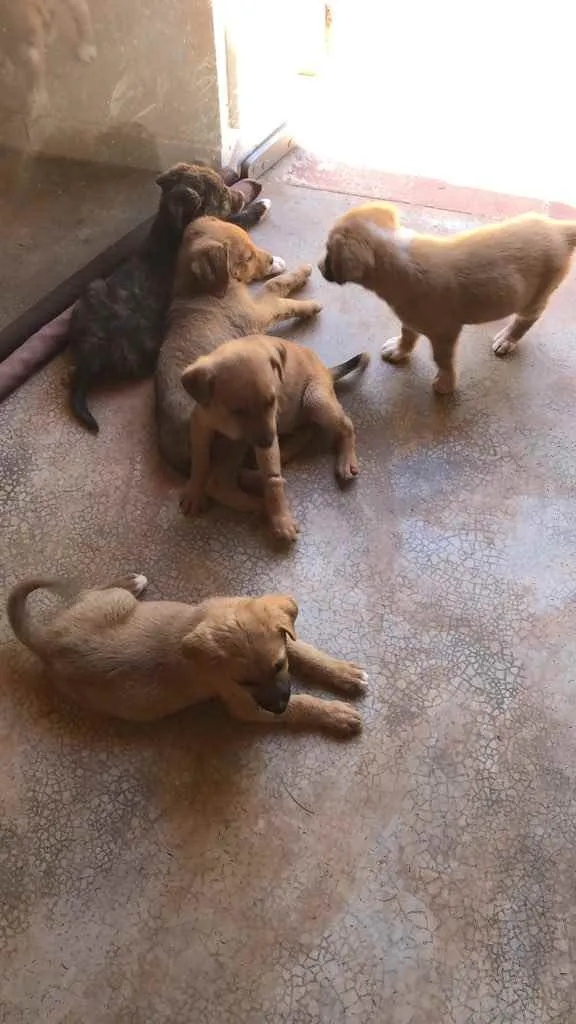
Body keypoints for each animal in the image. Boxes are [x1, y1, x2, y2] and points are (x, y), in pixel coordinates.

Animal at [6, 577, 364, 737]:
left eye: (278, 667)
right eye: (244, 682)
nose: (278, 707)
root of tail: (45, 640)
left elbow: (301, 648)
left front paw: (343, 672)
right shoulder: (244, 705)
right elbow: (302, 703)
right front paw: (334, 713)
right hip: (111, 606)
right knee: (88, 588)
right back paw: (133, 582)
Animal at [66, 162, 268, 432]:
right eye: (223, 195)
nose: (252, 187)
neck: (170, 224)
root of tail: (91, 352)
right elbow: (236, 222)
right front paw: (259, 204)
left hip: (91, 291)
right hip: (147, 346)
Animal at [154, 215, 319, 483]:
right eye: (247, 257)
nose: (270, 259)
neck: (201, 288)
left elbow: (275, 284)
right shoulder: (257, 312)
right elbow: (277, 292)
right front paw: (309, 303)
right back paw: (304, 436)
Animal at [179, 335, 366, 544]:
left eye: (271, 401)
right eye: (238, 411)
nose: (268, 442)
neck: (224, 418)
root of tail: (326, 369)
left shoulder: (266, 433)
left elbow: (273, 479)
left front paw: (281, 520)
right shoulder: (200, 424)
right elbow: (200, 461)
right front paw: (194, 490)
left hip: (314, 399)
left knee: (345, 426)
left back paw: (345, 461)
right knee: (306, 432)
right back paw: (256, 496)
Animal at [315, 201, 573, 393]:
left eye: (328, 251)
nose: (317, 266)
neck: (396, 255)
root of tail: (560, 229)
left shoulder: (445, 332)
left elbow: (442, 359)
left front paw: (445, 384)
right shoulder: (411, 316)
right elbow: (407, 334)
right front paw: (399, 350)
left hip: (537, 294)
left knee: (527, 319)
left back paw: (507, 339)